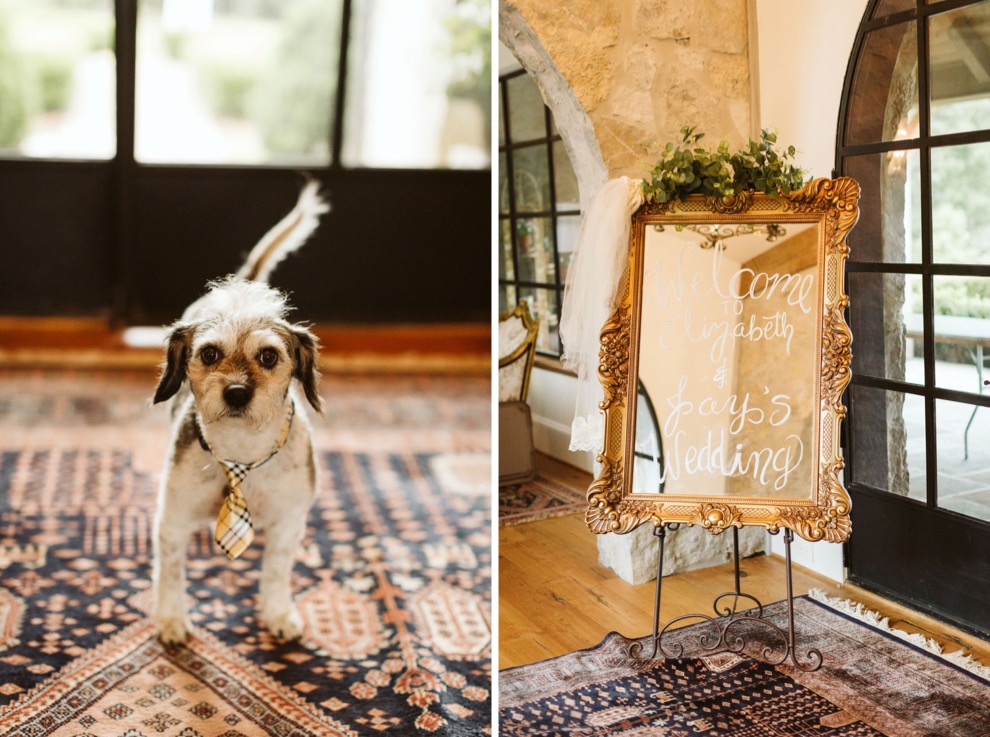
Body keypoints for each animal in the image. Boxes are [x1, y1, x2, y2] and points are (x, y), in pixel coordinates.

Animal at [152, 180, 330, 644]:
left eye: (269, 357)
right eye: (209, 354)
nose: (235, 393)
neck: (241, 455)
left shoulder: (288, 522)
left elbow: (276, 572)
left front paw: (278, 613)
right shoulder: (172, 521)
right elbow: (171, 574)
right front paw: (171, 619)